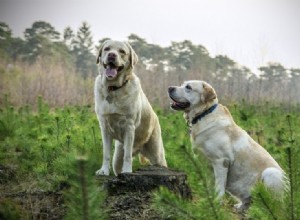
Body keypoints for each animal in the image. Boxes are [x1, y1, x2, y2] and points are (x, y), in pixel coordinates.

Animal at [95, 40, 168, 176]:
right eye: (107, 49)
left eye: (122, 52)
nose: (112, 55)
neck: (114, 88)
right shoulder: (105, 127)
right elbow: (106, 154)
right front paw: (103, 171)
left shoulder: (129, 126)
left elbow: (128, 156)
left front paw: (128, 171)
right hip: (117, 157)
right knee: (117, 165)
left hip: (157, 156)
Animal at [168, 80, 288, 210]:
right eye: (182, 84)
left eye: (188, 87)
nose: (170, 88)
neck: (204, 114)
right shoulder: (206, 165)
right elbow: (211, 185)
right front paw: (209, 202)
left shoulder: (221, 161)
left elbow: (219, 188)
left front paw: (216, 203)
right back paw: (241, 207)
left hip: (271, 173)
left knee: (276, 205)